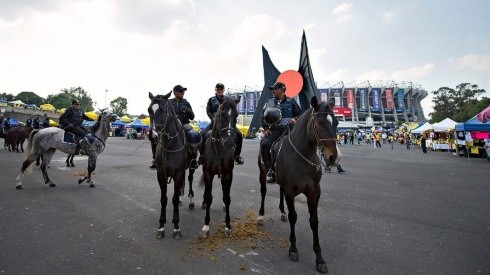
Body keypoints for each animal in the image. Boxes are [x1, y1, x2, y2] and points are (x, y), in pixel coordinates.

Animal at [199, 97, 241, 239]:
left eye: (236, 115)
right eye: (221, 115)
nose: (229, 142)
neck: (219, 148)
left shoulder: (228, 174)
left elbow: (227, 198)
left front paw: (228, 226)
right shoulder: (208, 173)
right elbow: (209, 197)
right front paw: (206, 226)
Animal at [258, 97, 338, 274]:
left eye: (336, 122)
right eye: (320, 123)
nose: (333, 157)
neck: (302, 157)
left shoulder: (314, 192)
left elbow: (314, 221)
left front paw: (319, 258)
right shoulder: (290, 191)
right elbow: (294, 217)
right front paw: (293, 249)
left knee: (279, 192)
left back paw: (282, 212)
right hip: (262, 174)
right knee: (263, 192)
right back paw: (260, 216)